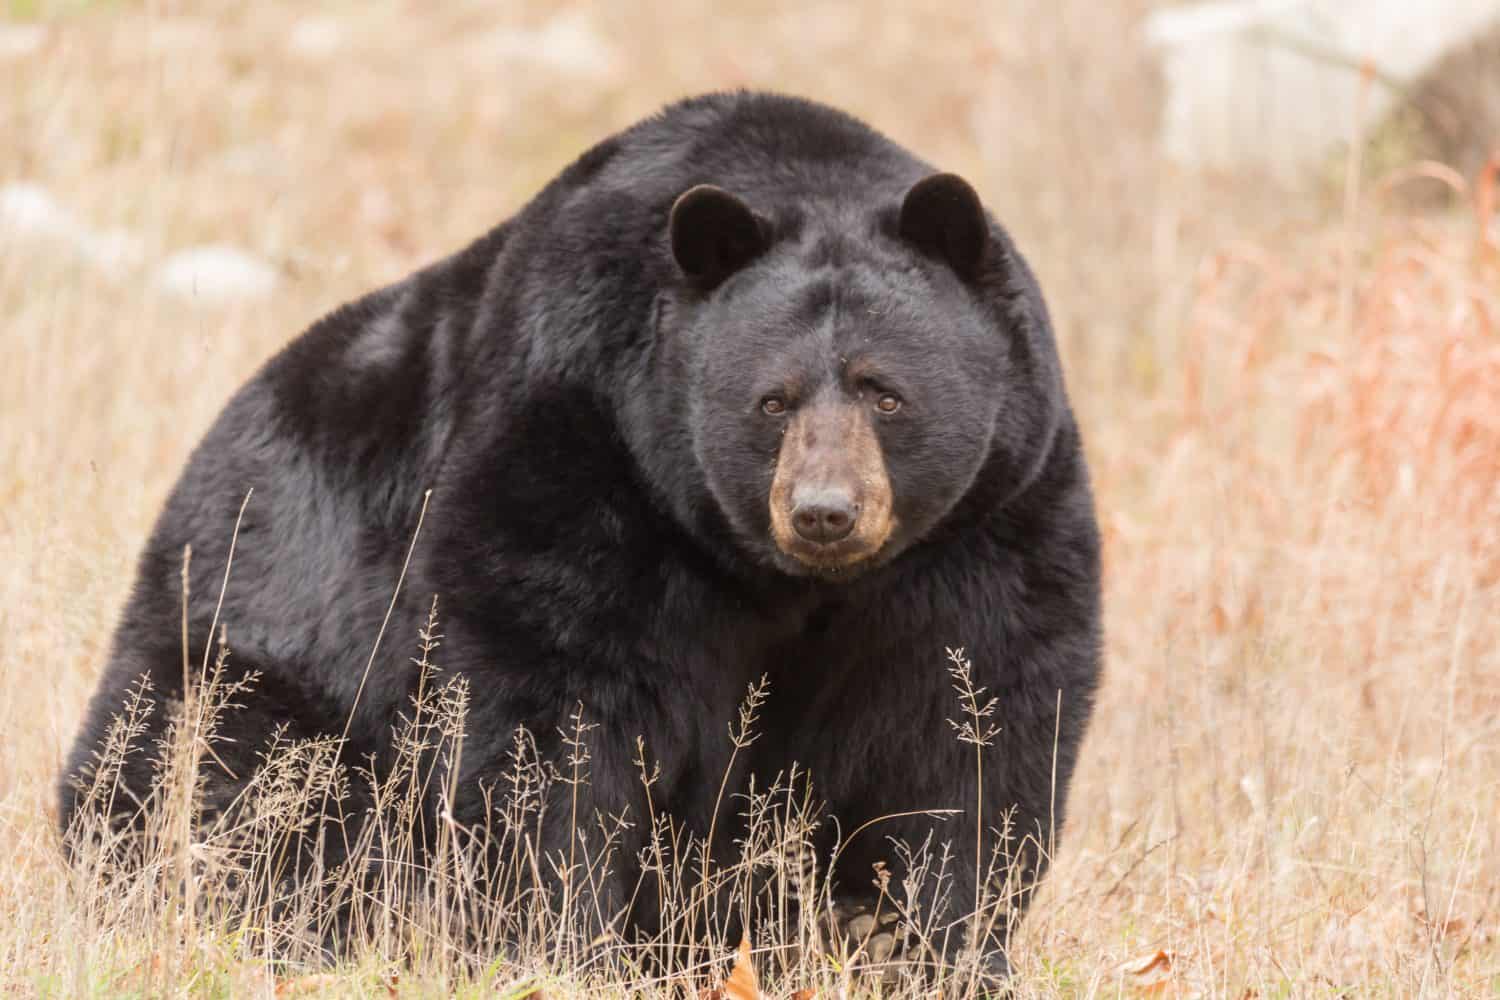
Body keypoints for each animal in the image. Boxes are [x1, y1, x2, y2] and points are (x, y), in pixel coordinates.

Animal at [59, 91, 1102, 981]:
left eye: (886, 392)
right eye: (773, 401)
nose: (824, 512)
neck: (781, 576)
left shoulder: (988, 520)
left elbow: (972, 721)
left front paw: (920, 943)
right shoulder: (579, 447)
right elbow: (548, 706)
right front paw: (558, 942)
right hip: (255, 651)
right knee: (228, 785)